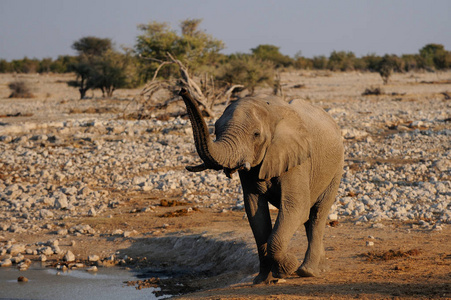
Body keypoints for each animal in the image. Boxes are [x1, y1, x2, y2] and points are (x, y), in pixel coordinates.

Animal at [178, 87, 344, 284]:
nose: (182, 89)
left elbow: (295, 207)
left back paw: (307, 271)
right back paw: (320, 268)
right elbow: (255, 212)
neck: (269, 111)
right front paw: (262, 280)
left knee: (317, 214)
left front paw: (288, 267)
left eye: (256, 134)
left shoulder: (297, 160)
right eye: (216, 129)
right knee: (308, 218)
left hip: (337, 168)